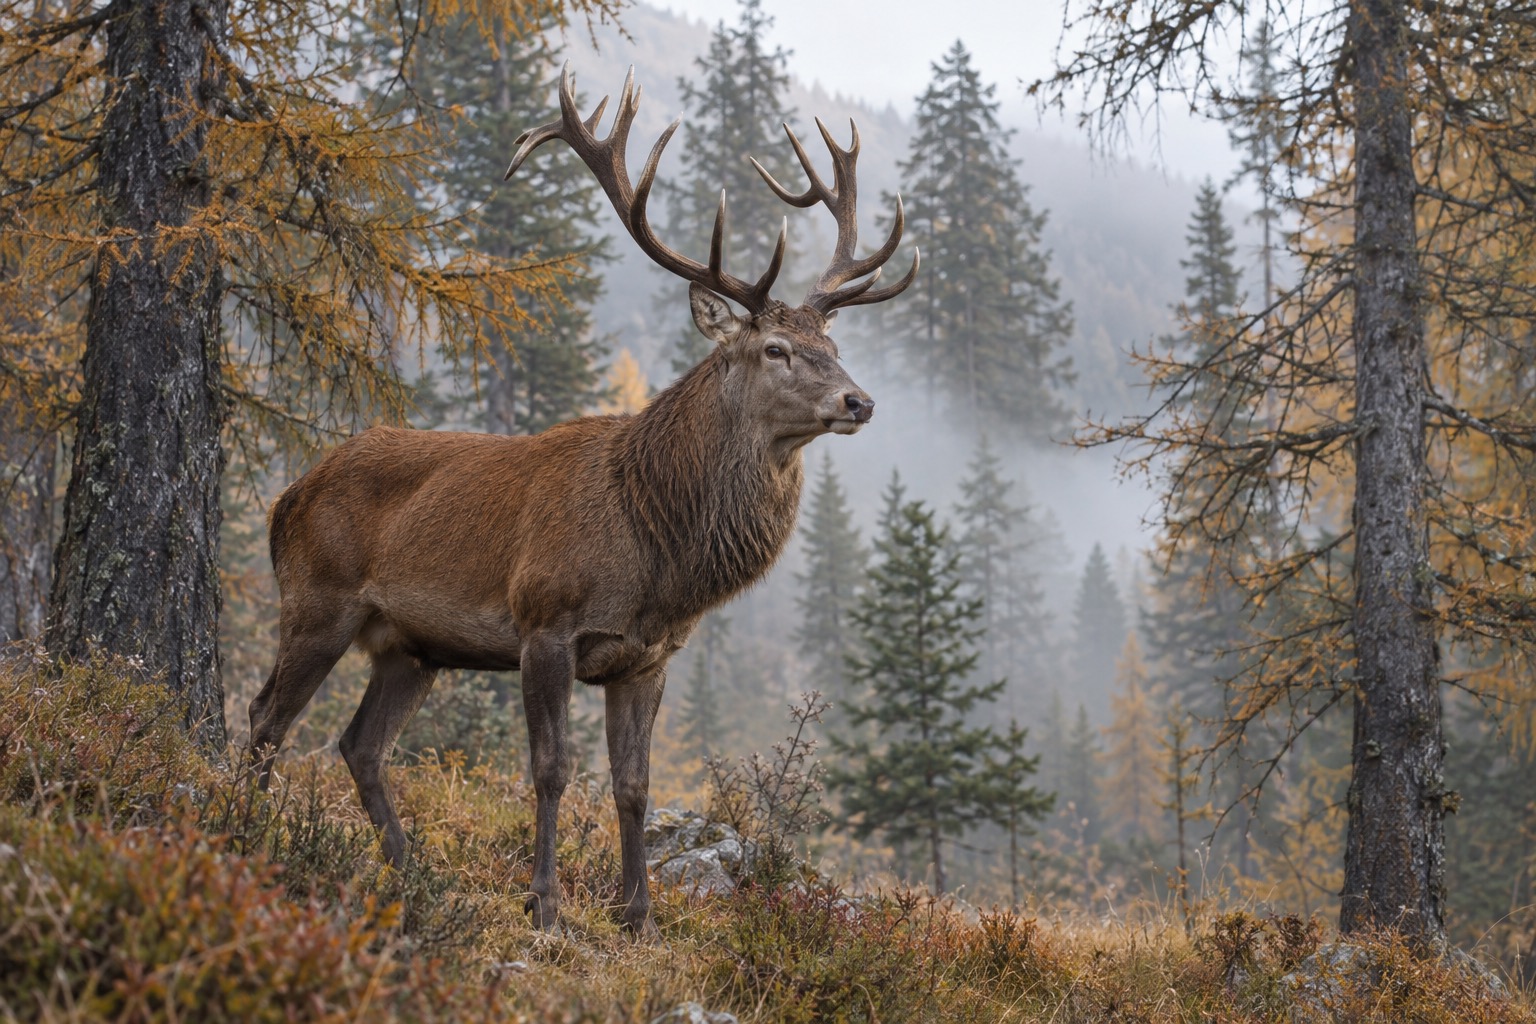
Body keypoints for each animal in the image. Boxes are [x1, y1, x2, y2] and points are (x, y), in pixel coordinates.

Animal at [247, 63, 917, 937]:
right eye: (775, 348)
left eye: (832, 344)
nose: (858, 401)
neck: (655, 551)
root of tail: (288, 495)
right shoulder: (545, 622)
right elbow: (552, 768)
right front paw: (547, 905)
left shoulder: (648, 656)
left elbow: (633, 784)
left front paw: (640, 915)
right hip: (316, 600)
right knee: (266, 719)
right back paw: (246, 829)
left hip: (409, 646)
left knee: (360, 744)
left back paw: (410, 867)